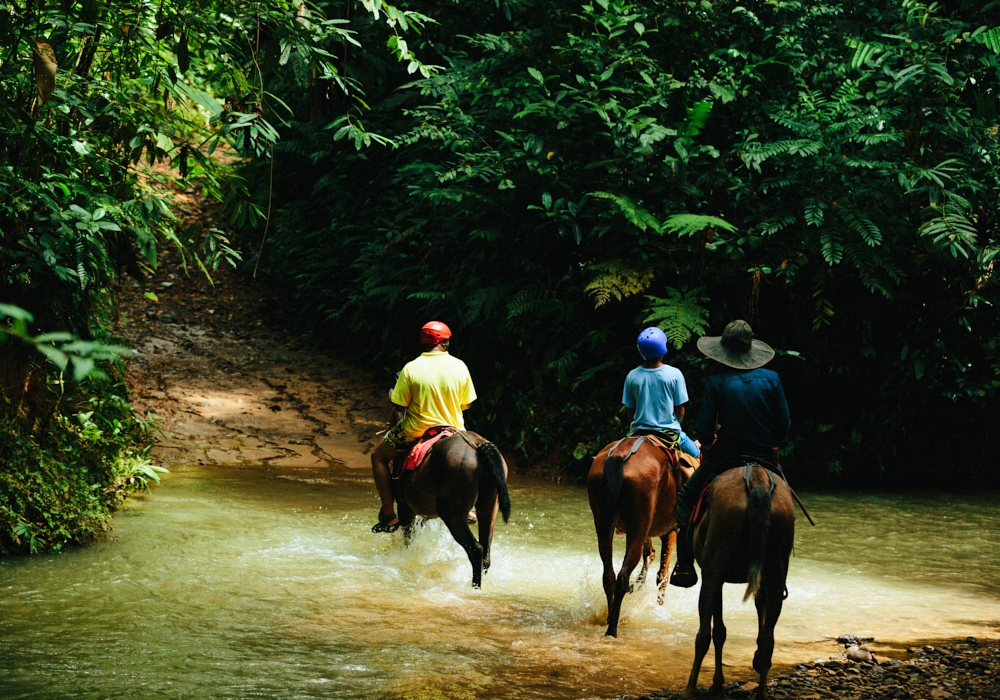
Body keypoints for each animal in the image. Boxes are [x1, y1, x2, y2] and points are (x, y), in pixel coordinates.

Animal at [394, 432, 512, 592]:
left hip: (452, 515)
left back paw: (475, 587)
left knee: (476, 549)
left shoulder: (405, 510)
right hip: (488, 509)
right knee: (486, 552)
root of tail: (479, 443)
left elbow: (408, 538)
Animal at [584, 440, 688, 636]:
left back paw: (610, 618)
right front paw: (659, 606)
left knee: (609, 576)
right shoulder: (671, 529)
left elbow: (650, 555)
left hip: (604, 524)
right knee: (623, 576)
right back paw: (612, 629)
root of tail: (619, 455)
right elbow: (663, 575)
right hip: (638, 526)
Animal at [684, 464, 792, 700]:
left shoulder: (715, 576)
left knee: (703, 634)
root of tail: (757, 480)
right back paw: (761, 692)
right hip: (775, 573)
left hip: (713, 572)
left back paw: (689, 689)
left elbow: (718, 631)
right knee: (768, 639)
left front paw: (717, 684)